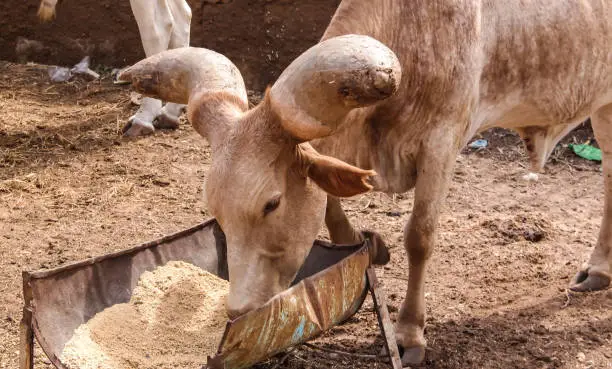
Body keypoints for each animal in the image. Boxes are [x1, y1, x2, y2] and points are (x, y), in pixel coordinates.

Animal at [117, 0, 608, 362]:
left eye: (271, 203)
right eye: (215, 211)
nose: (239, 309)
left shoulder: (442, 143)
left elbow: (420, 237)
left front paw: (409, 333)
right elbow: (332, 203)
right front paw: (369, 245)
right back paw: (598, 270)